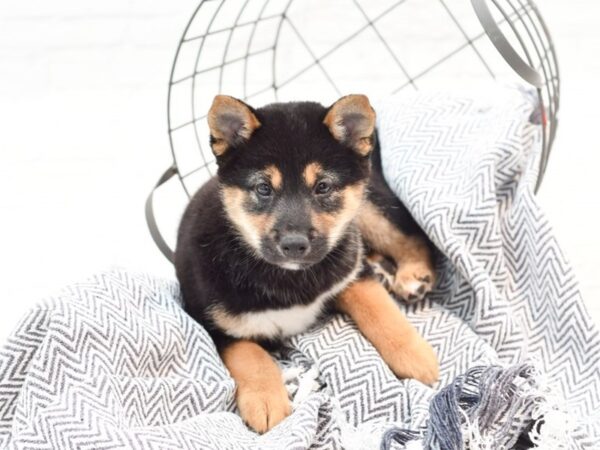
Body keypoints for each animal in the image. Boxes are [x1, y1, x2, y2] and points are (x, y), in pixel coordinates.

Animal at [176, 93, 438, 434]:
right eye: (263, 188)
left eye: (323, 186)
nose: (294, 244)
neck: (290, 278)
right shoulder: (211, 321)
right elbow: (249, 353)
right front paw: (265, 399)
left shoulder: (350, 273)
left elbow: (381, 312)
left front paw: (416, 356)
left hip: (369, 209)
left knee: (413, 237)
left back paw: (413, 275)